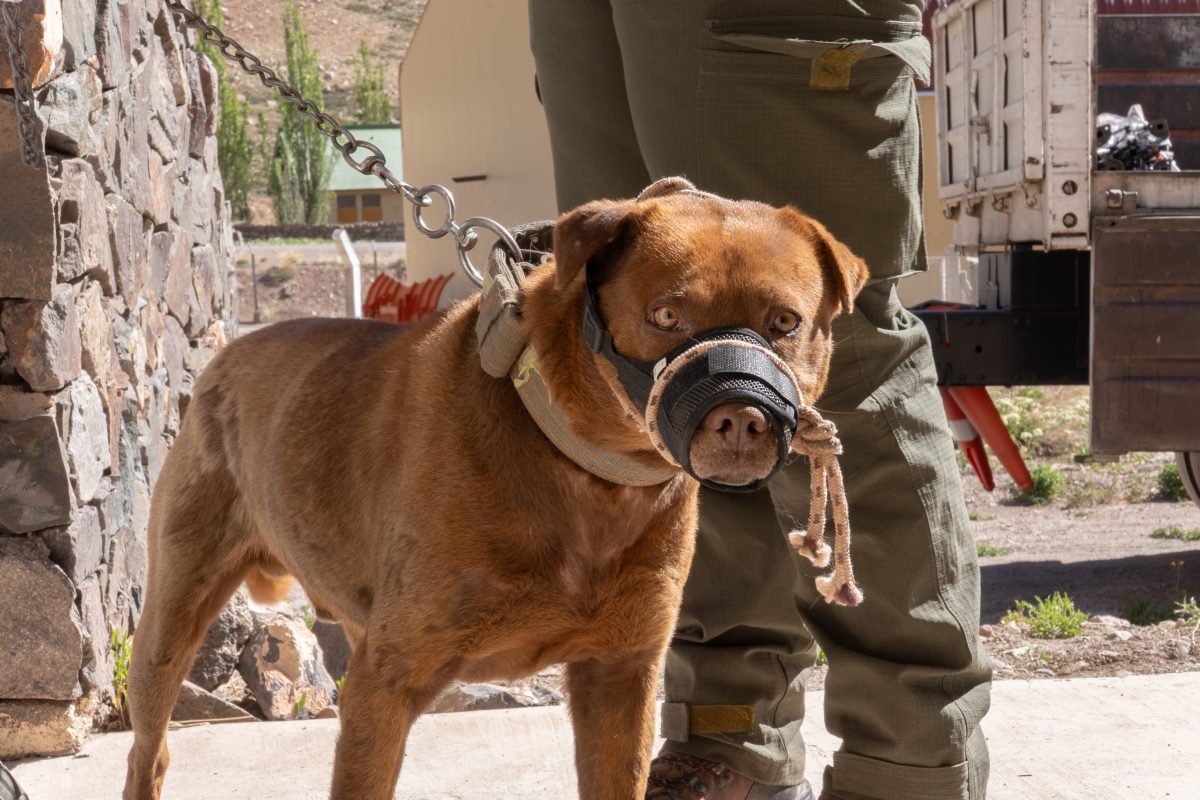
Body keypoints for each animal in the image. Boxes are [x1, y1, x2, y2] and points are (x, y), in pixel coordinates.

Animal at [122, 177, 867, 800]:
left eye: (785, 322)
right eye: (664, 315)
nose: (740, 415)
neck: (586, 477)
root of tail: (225, 355)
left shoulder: (621, 678)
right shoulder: (387, 683)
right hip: (171, 618)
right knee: (148, 749)